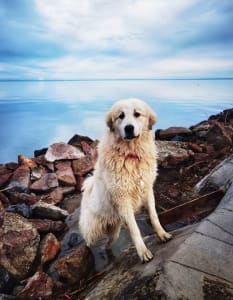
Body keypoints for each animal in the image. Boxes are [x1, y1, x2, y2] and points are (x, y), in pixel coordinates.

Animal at [79, 99, 172, 262]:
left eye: (137, 114)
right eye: (121, 116)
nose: (129, 128)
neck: (131, 155)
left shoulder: (147, 191)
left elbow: (154, 216)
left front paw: (162, 234)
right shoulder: (122, 199)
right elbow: (135, 229)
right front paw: (142, 252)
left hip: (114, 229)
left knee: (108, 243)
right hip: (93, 228)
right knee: (88, 241)